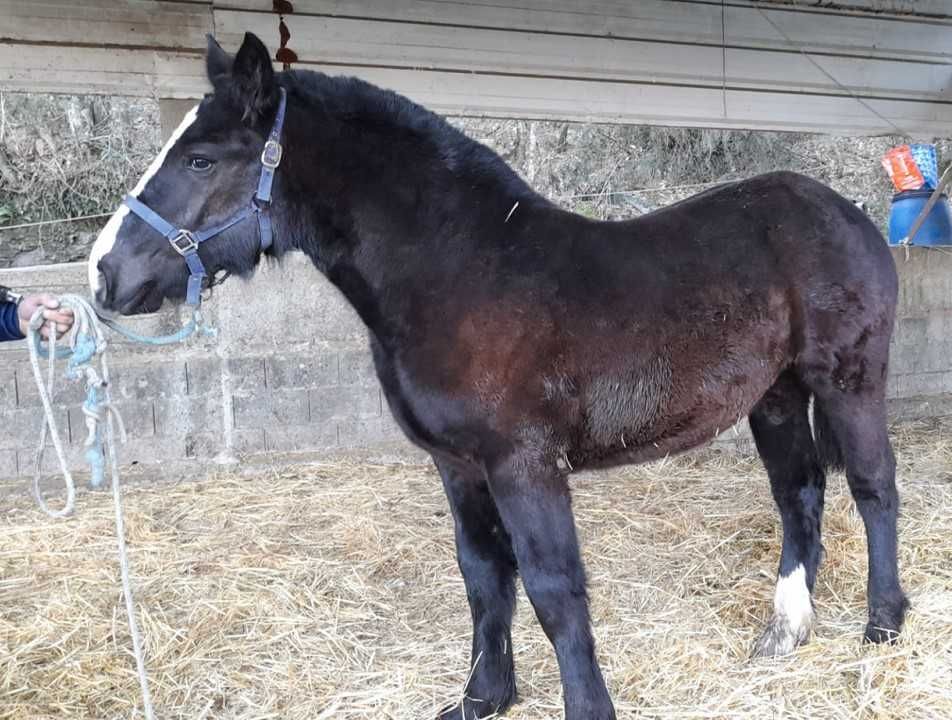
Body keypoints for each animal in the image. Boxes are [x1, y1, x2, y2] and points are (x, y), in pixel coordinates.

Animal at [87, 33, 908, 720]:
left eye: (201, 159)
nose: (104, 274)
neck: (464, 272)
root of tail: (844, 210)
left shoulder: (524, 464)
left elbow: (552, 588)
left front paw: (585, 708)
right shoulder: (458, 466)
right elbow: (483, 576)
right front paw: (483, 698)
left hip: (848, 380)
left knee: (873, 487)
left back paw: (884, 624)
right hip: (776, 395)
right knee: (799, 492)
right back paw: (786, 630)